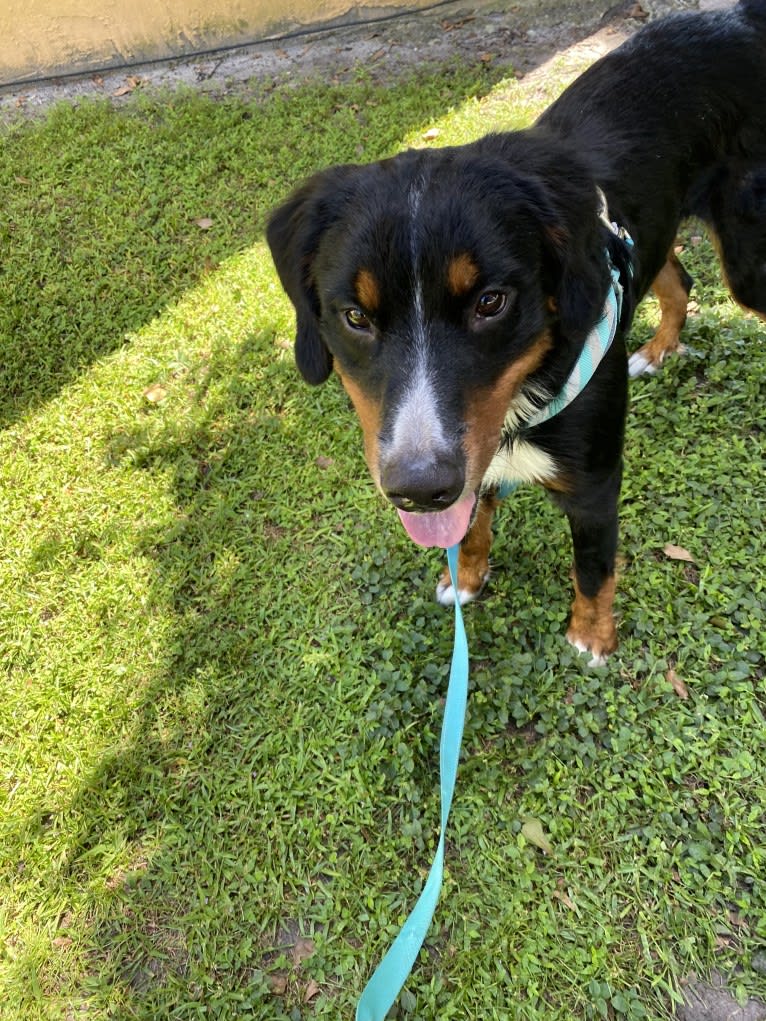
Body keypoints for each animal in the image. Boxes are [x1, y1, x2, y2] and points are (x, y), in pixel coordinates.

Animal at [265, 0, 766, 661]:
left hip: (748, 263)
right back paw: (657, 352)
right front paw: (466, 579)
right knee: (676, 279)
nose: (418, 488)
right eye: (355, 317)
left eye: (491, 302)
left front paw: (591, 638)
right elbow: (471, 525)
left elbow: (594, 568)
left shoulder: (594, 484)